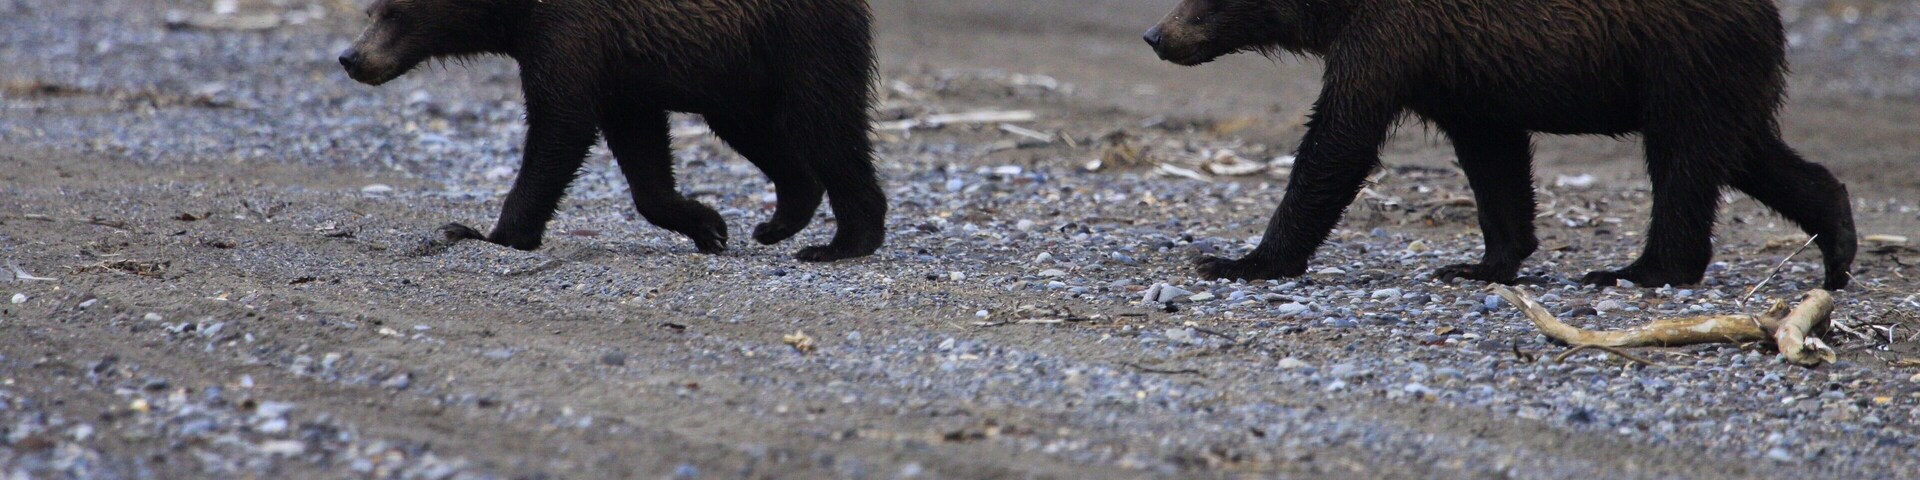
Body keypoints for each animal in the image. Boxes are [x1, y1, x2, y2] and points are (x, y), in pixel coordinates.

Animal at [339, 0, 887, 261]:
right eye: (371, 10)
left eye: (394, 12)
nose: (350, 56)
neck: (516, 15)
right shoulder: (622, 73)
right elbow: (640, 152)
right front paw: (708, 224)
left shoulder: (570, 34)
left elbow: (559, 126)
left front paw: (488, 232)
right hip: (737, 72)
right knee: (757, 131)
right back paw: (779, 221)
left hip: (800, 39)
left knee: (825, 123)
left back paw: (841, 243)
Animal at [1143, 0, 1856, 289]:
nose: (1156, 34)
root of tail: (1772, 16)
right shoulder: (1463, 73)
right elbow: (1495, 160)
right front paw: (1483, 262)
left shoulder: (1392, 38)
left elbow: (1339, 140)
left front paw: (1240, 259)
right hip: (1717, 77)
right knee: (1746, 152)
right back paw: (1839, 246)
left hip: (1682, 62)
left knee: (1685, 163)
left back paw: (1639, 269)